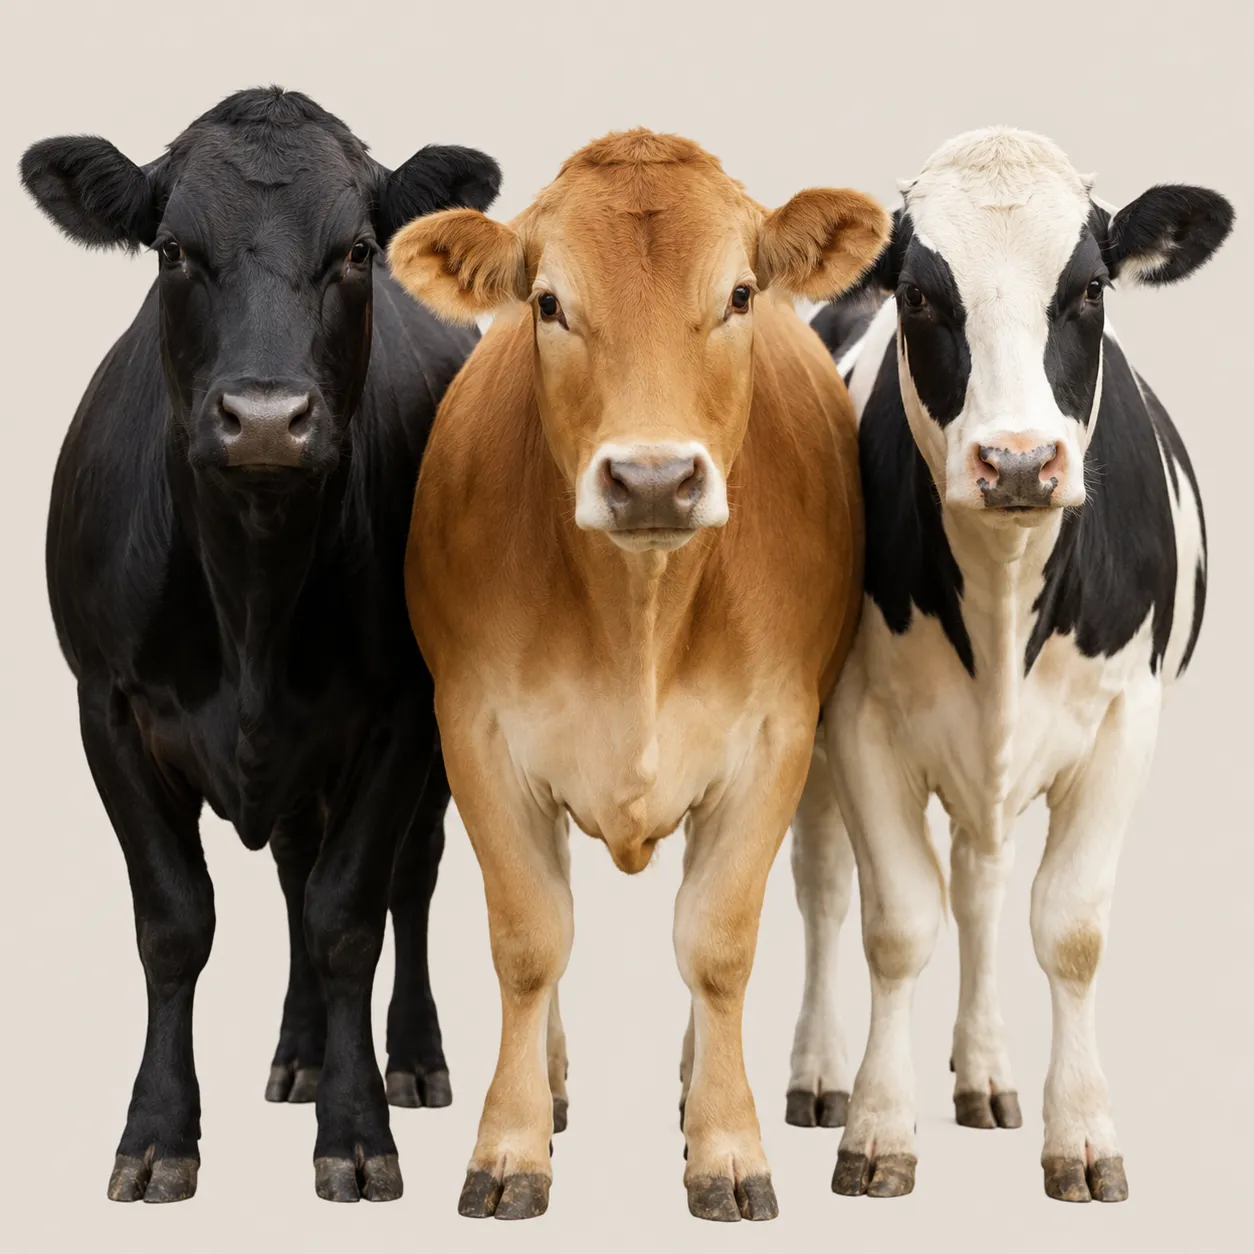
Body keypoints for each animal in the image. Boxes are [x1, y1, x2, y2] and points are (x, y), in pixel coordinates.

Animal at [20, 87, 501, 1203]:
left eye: (358, 248)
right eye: (171, 250)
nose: (269, 418)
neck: (252, 598)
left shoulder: (404, 712)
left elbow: (350, 914)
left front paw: (357, 1131)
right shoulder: (106, 707)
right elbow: (174, 921)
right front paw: (158, 1132)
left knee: (409, 878)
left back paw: (411, 1058)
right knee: (290, 867)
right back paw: (299, 1051)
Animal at [385, 128, 887, 1222]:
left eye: (740, 294)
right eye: (547, 302)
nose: (653, 479)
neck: (640, 612)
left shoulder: (775, 740)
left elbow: (718, 945)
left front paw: (728, 1146)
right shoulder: (476, 733)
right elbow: (531, 938)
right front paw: (512, 1144)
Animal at [783, 127, 1232, 1202]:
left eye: (1089, 290)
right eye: (918, 295)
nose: (1020, 462)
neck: (1002, 578)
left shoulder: (1124, 724)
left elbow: (1067, 928)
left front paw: (1084, 1136)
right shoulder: (856, 722)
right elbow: (896, 923)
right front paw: (877, 1130)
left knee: (981, 882)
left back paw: (985, 1072)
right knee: (823, 887)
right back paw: (818, 1073)